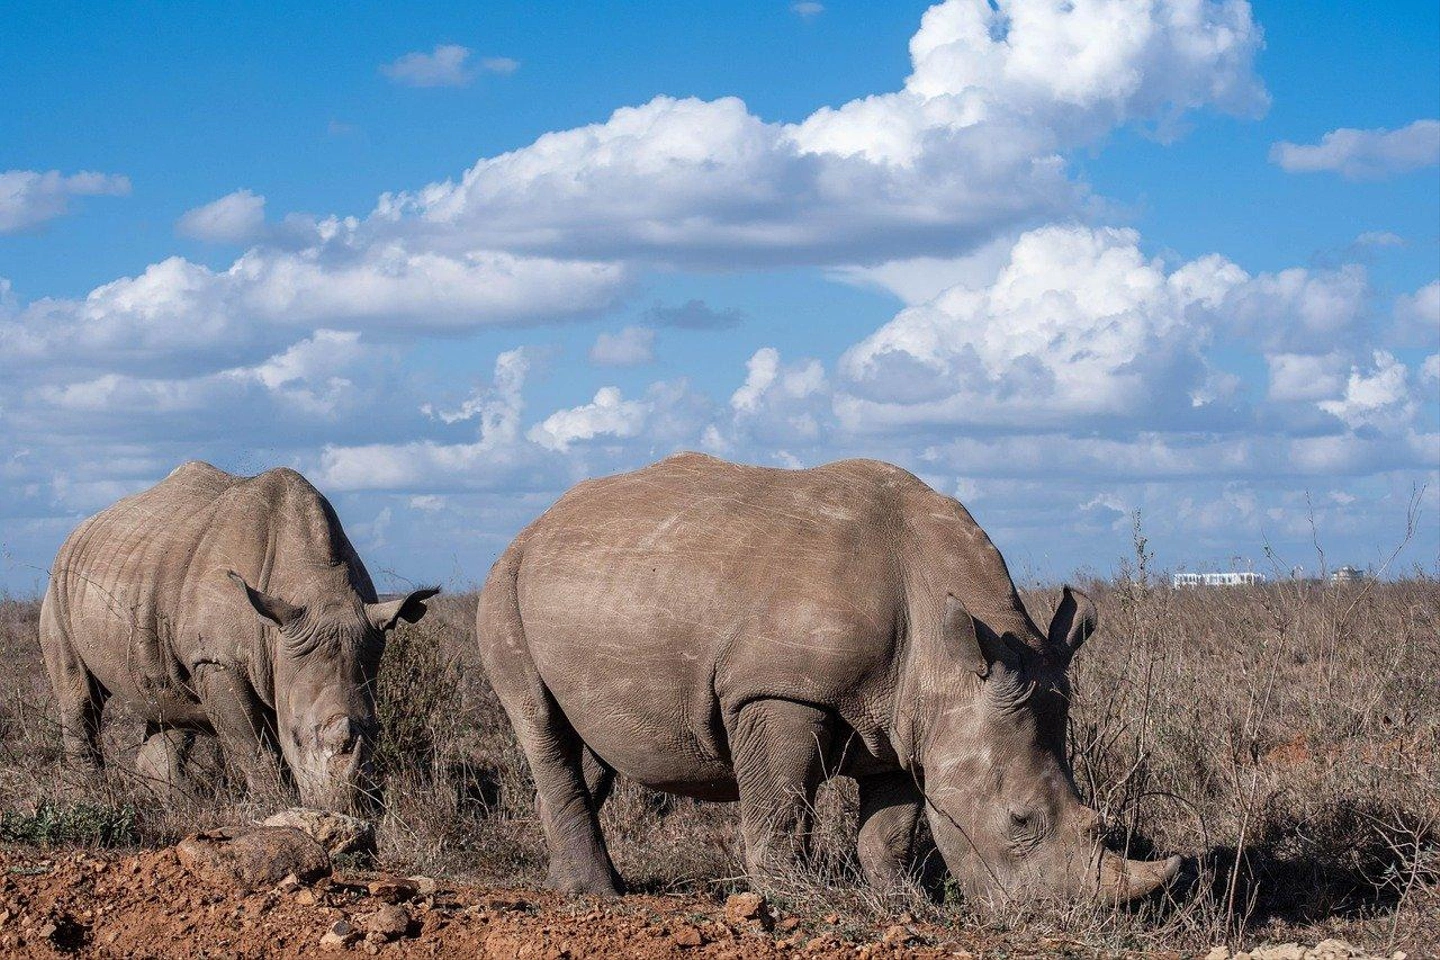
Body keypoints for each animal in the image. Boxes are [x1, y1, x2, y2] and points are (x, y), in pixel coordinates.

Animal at [40, 461, 437, 811]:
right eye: (295, 735)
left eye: (377, 730)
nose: (348, 807)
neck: (317, 589)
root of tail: (79, 531)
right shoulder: (218, 658)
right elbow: (253, 745)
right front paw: (276, 807)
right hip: (59, 584)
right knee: (80, 697)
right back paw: (93, 800)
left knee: (168, 703)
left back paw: (184, 808)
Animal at [477, 452, 1181, 904]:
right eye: (1020, 822)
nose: (1059, 918)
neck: (945, 646)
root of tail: (536, 523)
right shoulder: (777, 687)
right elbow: (780, 804)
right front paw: (794, 901)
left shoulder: (903, 714)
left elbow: (890, 825)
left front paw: (902, 903)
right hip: (503, 583)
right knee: (540, 722)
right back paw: (597, 897)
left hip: (590, 582)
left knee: (588, 745)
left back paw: (569, 883)